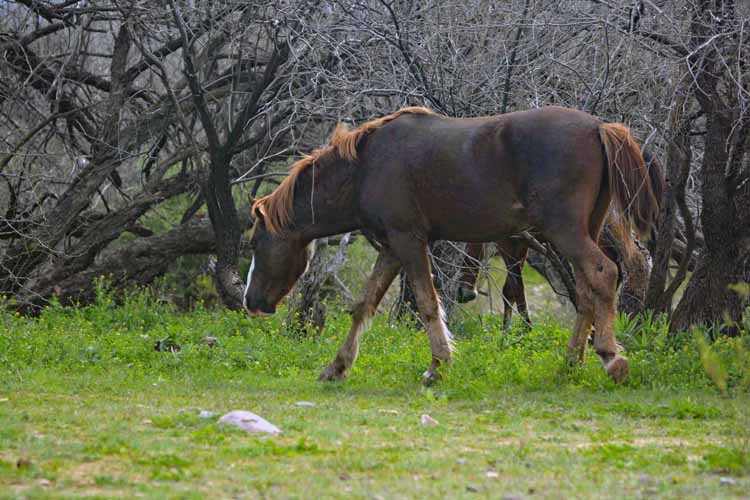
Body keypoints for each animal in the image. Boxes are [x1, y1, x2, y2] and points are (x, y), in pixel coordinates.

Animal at [244, 106, 660, 382]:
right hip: (581, 230)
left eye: (255, 244)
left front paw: (438, 366)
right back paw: (571, 363)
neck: (365, 167)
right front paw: (338, 365)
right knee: (587, 292)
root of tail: (599, 126)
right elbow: (364, 305)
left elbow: (428, 304)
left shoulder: (409, 241)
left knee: (603, 273)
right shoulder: (392, 247)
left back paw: (611, 358)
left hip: (566, 232)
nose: (251, 302)